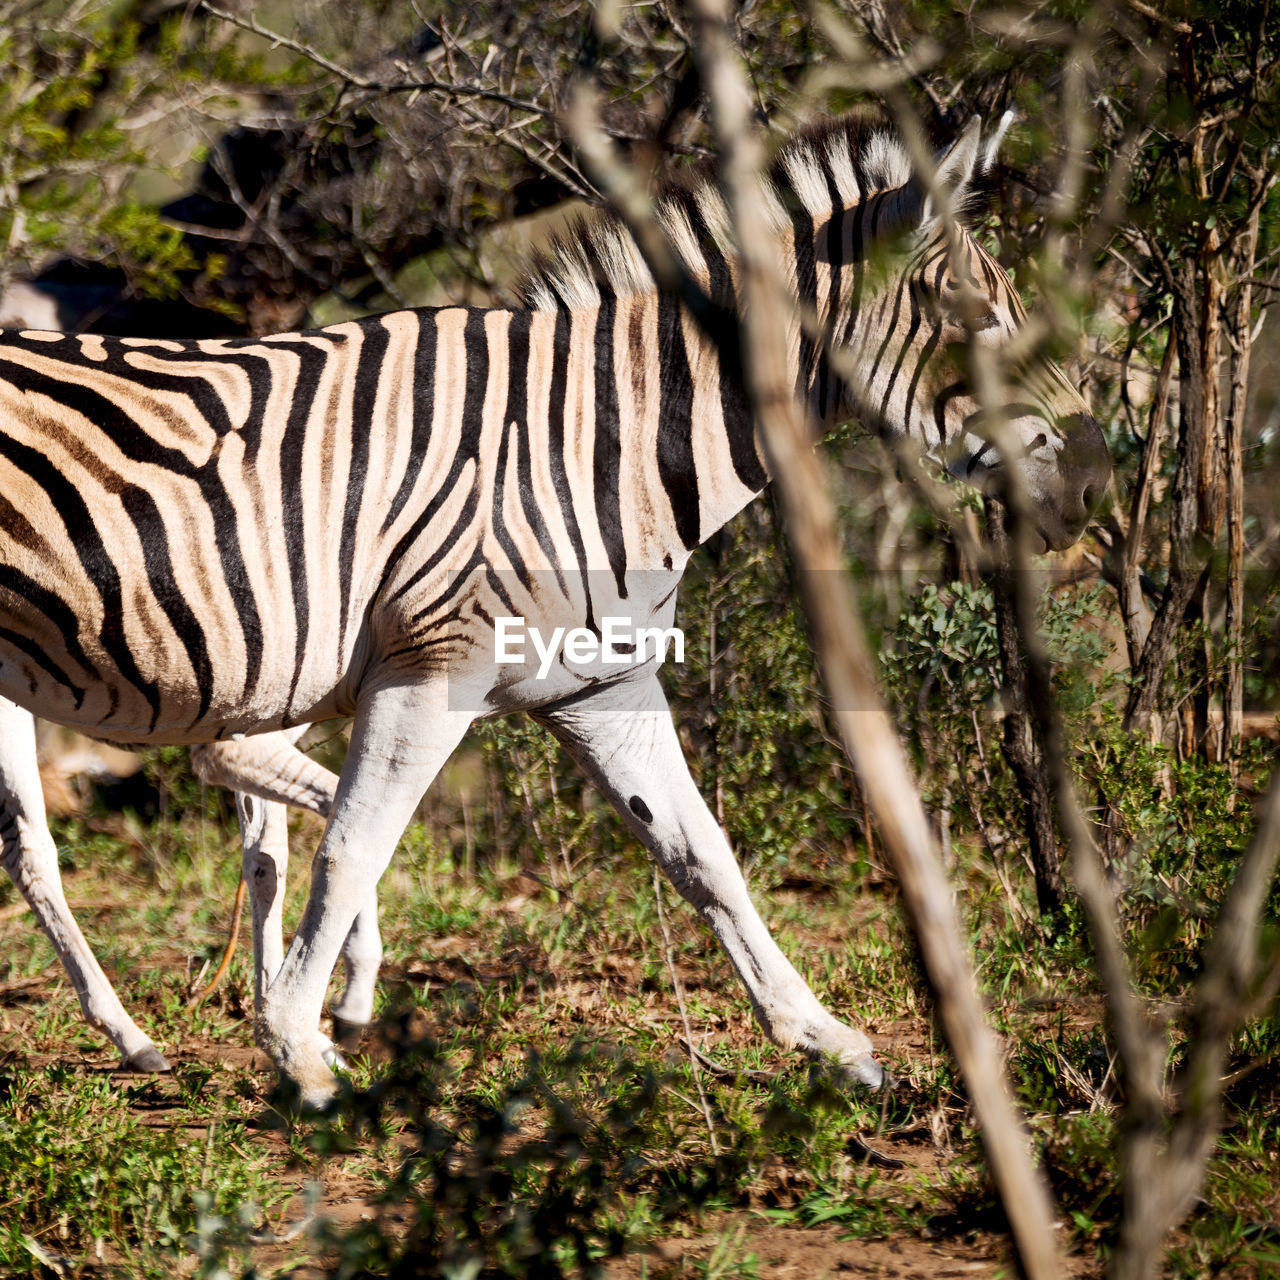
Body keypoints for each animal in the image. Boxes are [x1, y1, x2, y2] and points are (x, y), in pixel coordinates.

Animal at [0, 115, 1105, 1105]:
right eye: (980, 319)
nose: (1097, 479)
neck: (601, 440)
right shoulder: (430, 668)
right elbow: (353, 846)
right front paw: (299, 1050)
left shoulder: (601, 682)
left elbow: (704, 856)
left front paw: (825, 1040)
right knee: (57, 846)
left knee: (39, 847)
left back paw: (132, 1035)